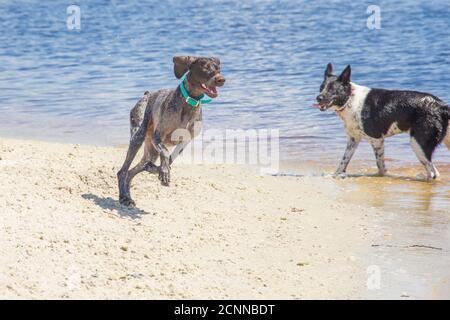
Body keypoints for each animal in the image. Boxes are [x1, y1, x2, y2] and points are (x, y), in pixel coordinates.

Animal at [118, 56, 225, 206]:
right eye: (205, 68)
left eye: (218, 68)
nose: (221, 79)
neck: (189, 103)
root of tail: (146, 94)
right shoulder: (158, 137)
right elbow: (165, 153)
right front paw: (164, 172)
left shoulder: (185, 142)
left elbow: (169, 159)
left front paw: (159, 169)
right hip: (138, 137)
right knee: (122, 171)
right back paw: (124, 197)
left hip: (151, 152)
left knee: (132, 172)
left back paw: (130, 192)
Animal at [316, 63, 450, 179]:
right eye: (321, 87)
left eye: (331, 89)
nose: (318, 98)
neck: (349, 99)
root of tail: (441, 105)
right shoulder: (353, 139)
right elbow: (344, 161)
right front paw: (336, 175)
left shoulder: (377, 140)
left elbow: (380, 164)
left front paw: (381, 175)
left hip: (418, 144)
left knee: (433, 173)